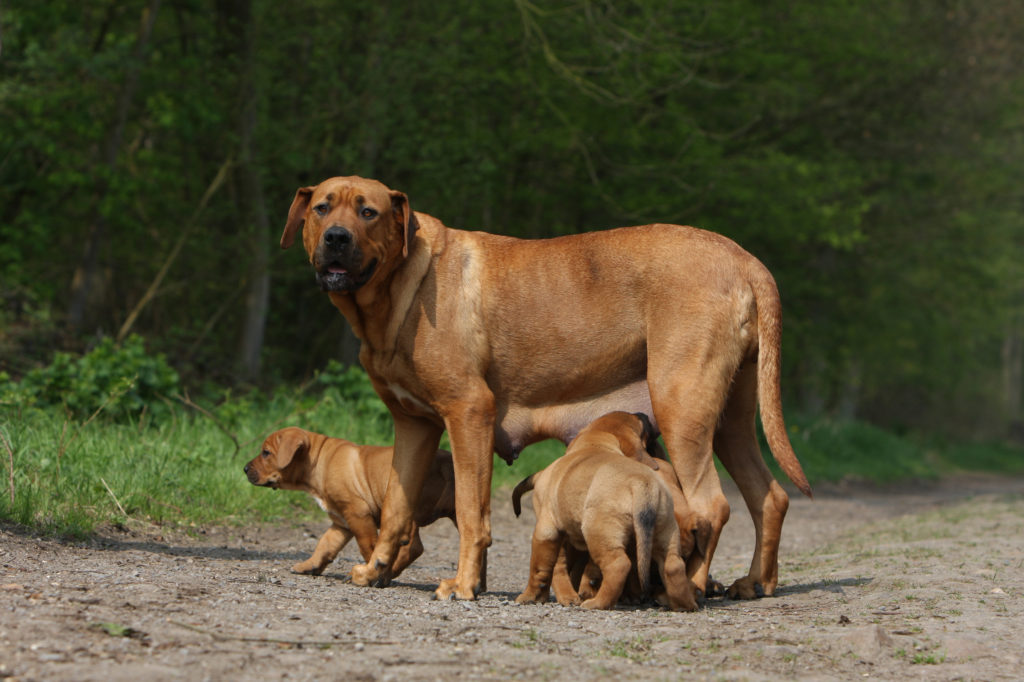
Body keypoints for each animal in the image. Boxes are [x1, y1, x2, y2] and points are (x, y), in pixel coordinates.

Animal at [509, 409, 696, 610]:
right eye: (639, 421)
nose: (643, 413)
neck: (594, 444)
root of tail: (642, 484)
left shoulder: (546, 530)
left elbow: (539, 569)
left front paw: (529, 596)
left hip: (599, 532)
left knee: (618, 565)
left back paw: (597, 603)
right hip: (664, 532)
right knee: (673, 566)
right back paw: (685, 605)